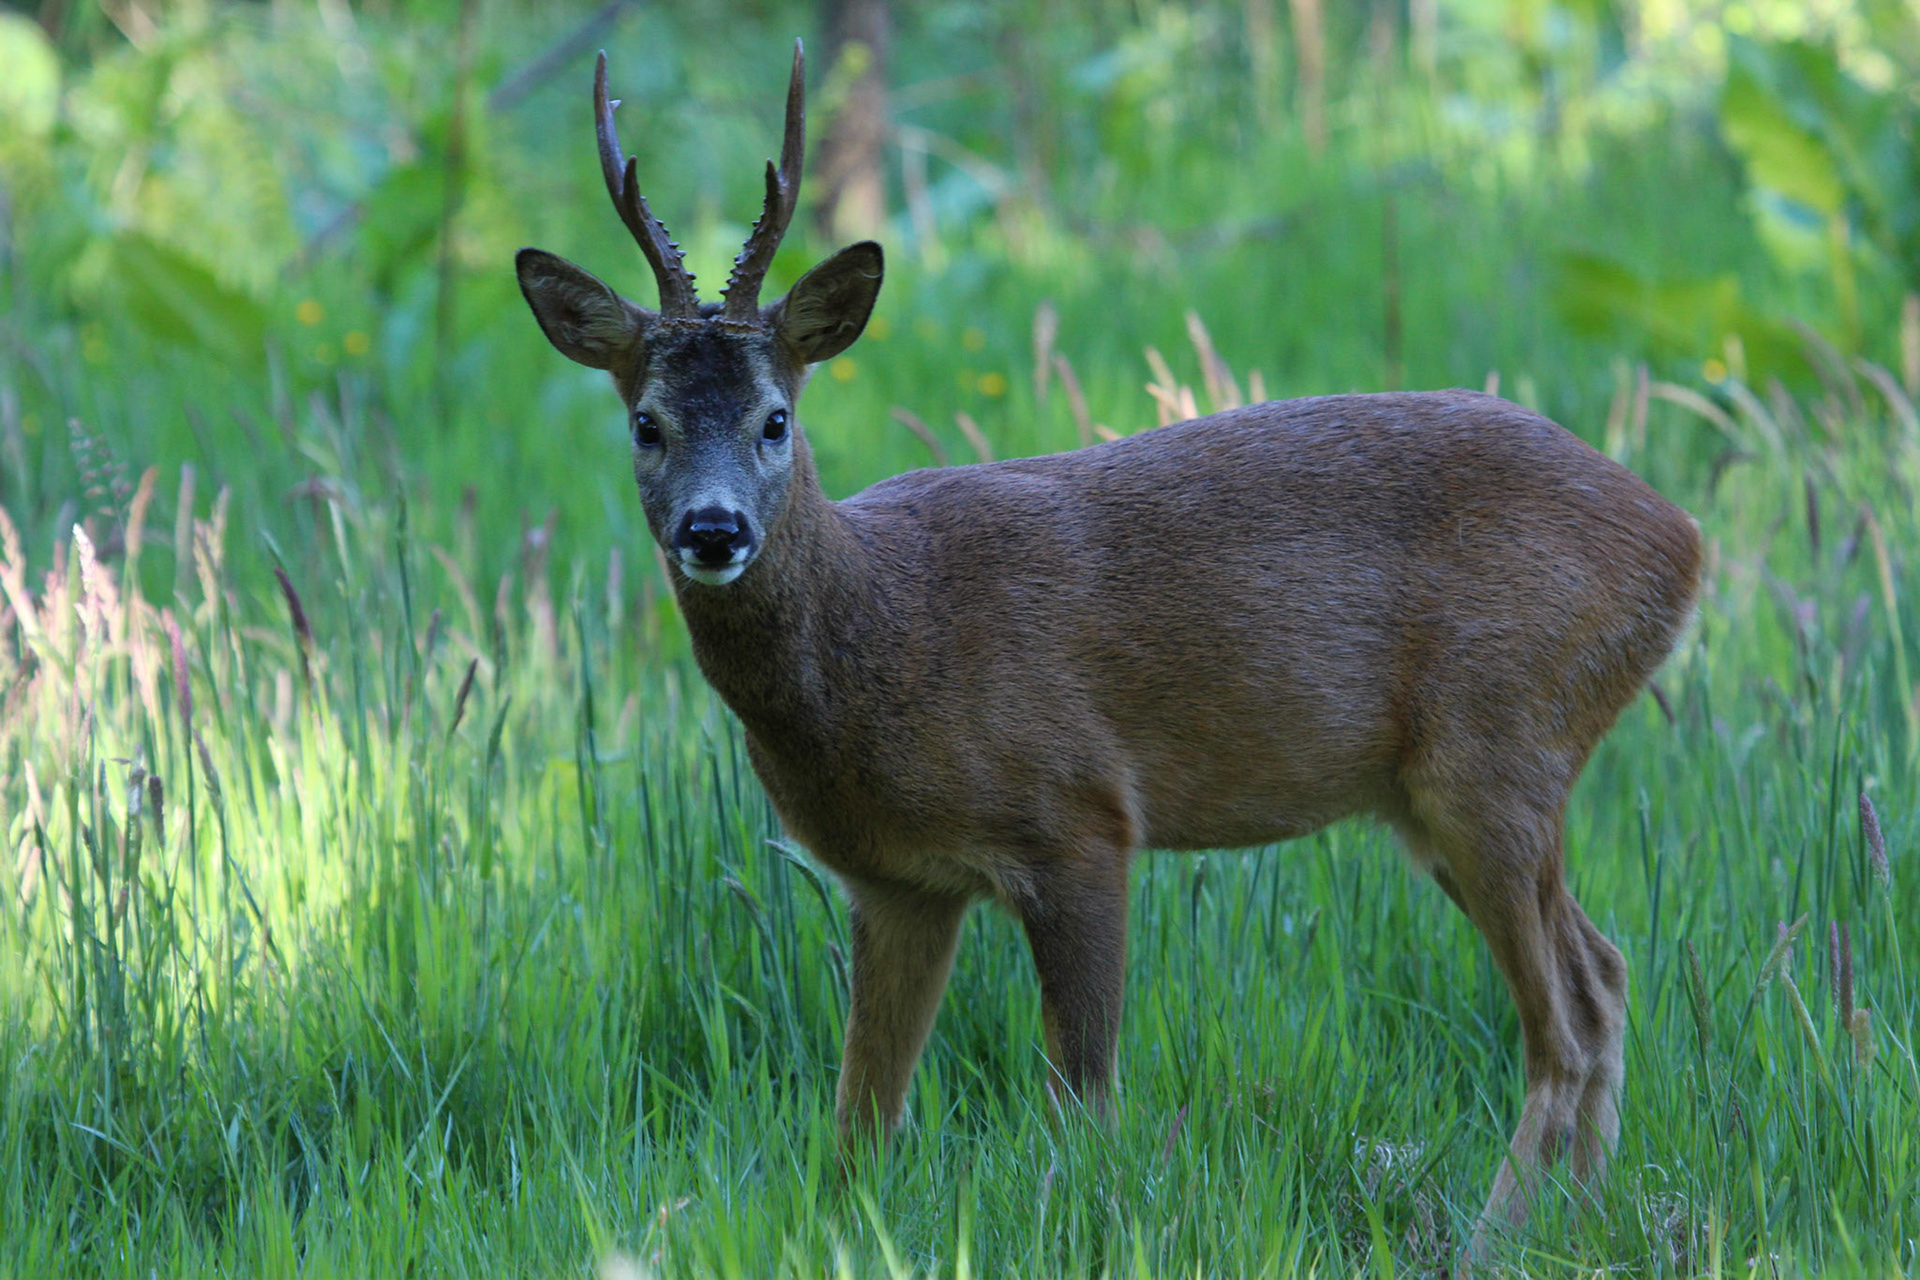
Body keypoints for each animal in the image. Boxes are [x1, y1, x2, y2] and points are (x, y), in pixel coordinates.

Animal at [514, 43, 1702, 1255]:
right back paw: (1587, 1217)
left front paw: (1085, 1227)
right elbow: (859, 1122)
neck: (885, 636)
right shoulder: (896, 884)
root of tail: (1682, 540)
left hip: (1500, 740)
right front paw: (841, 1236)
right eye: (646, 423)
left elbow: (1083, 1102)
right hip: (1444, 793)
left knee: (1564, 1018)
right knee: (1605, 972)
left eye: (775, 420)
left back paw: (1493, 1238)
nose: (714, 530)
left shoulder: (1080, 817)